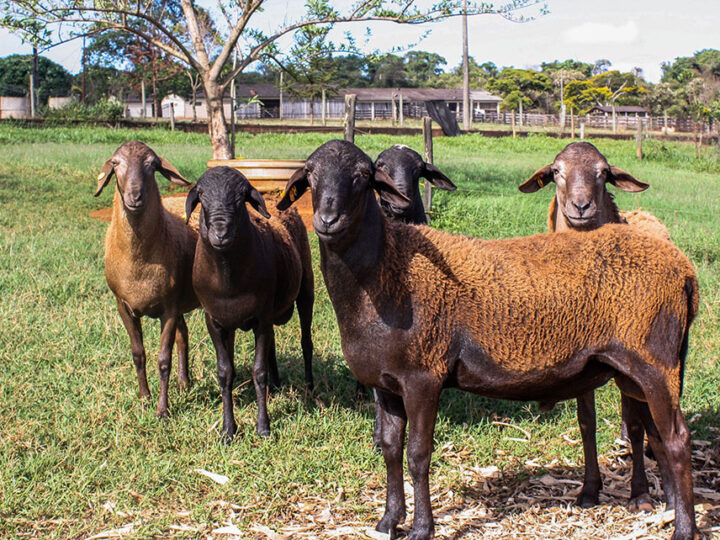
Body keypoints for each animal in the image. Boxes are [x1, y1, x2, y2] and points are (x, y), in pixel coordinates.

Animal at [95, 139, 200, 418]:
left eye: (152, 165)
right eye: (116, 163)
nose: (135, 197)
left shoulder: (169, 308)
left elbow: (163, 360)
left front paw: (162, 410)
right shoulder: (123, 305)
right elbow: (137, 354)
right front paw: (144, 399)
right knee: (183, 335)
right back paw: (184, 382)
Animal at [186, 167, 312, 440]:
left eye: (240, 198)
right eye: (202, 196)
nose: (221, 234)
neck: (228, 278)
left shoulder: (261, 319)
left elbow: (258, 371)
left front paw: (263, 427)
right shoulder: (215, 322)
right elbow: (225, 373)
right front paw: (227, 430)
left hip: (306, 287)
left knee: (306, 341)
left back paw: (310, 386)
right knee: (272, 345)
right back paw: (275, 386)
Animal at [278, 141, 700, 540]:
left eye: (364, 175)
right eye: (310, 174)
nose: (327, 220)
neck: (387, 269)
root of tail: (683, 268)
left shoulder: (423, 376)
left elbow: (418, 454)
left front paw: (421, 528)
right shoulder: (385, 382)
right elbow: (389, 448)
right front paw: (387, 521)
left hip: (654, 362)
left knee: (677, 439)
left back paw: (683, 529)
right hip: (636, 371)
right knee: (657, 436)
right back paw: (670, 511)